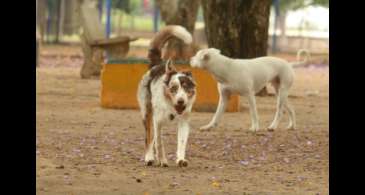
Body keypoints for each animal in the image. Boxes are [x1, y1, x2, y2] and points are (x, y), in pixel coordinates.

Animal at [136, 25, 195, 167]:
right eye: (173, 88)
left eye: (186, 88)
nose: (181, 101)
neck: (172, 108)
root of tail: (157, 65)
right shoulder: (157, 121)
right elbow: (159, 142)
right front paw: (162, 160)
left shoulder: (184, 121)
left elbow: (182, 142)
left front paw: (180, 160)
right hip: (147, 114)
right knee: (149, 138)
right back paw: (149, 157)